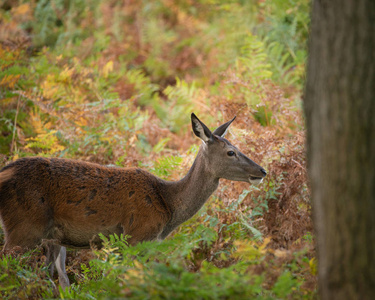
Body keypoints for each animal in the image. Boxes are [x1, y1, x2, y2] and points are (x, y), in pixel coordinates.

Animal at [0, 113, 268, 288]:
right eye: (231, 152)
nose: (262, 171)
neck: (169, 206)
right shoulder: (136, 236)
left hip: (45, 237)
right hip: (23, 227)